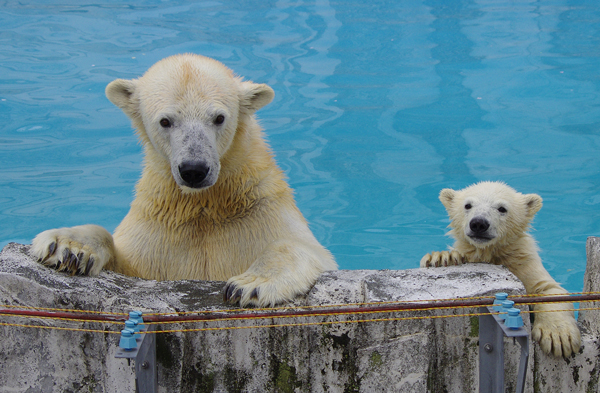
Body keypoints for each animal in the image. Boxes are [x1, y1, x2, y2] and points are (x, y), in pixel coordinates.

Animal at [30, 53, 338, 308]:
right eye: (165, 121)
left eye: (219, 118)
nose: (194, 169)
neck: (203, 206)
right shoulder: (159, 229)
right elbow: (126, 259)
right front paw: (66, 247)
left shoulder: (260, 213)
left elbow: (303, 248)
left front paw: (250, 284)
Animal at [422, 182, 580, 356]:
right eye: (468, 205)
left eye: (502, 208)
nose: (479, 223)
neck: (489, 253)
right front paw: (442, 258)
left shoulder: (522, 261)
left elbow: (548, 289)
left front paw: (558, 335)